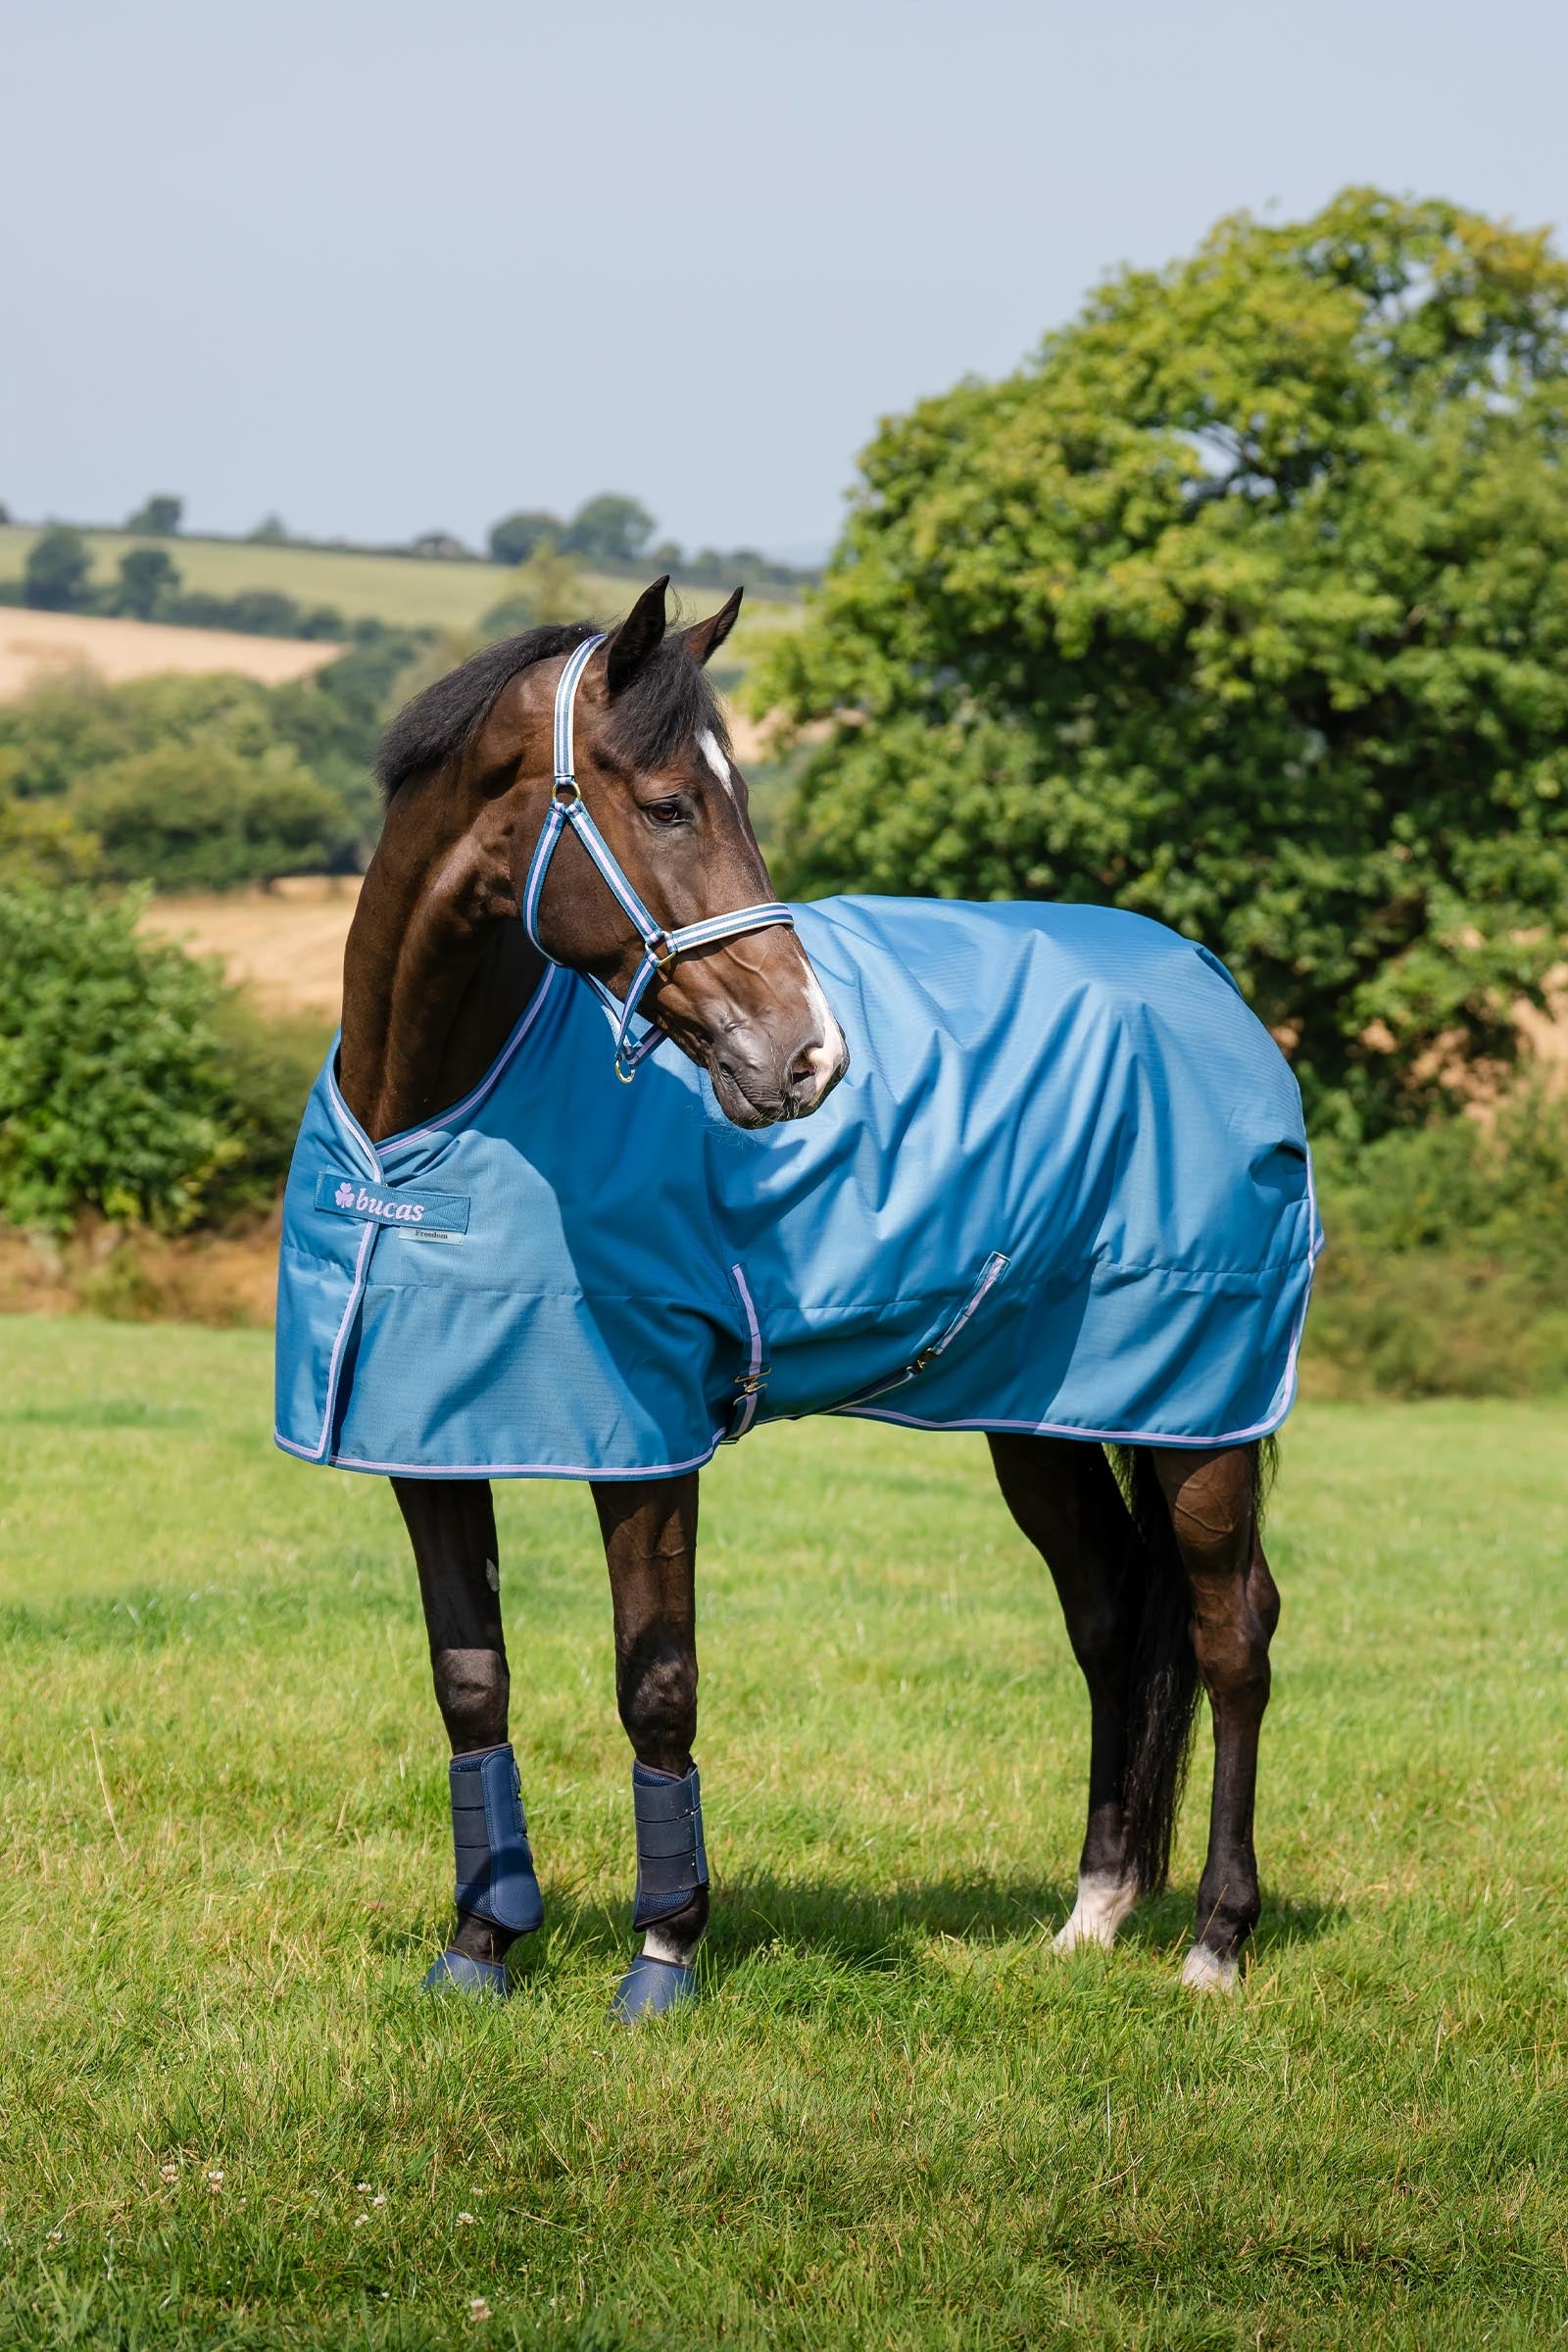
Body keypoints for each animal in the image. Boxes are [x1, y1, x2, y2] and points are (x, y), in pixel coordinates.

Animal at [275, 578, 1314, 2018]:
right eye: (668, 806)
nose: (810, 1056)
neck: (422, 1123)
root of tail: (1212, 985)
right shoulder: (425, 1441)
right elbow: (469, 1683)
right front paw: (480, 1946)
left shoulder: (649, 1447)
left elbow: (658, 1683)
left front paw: (663, 1957)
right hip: (1044, 1420)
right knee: (1110, 1619)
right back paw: (1095, 1910)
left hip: (1200, 1414)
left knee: (1231, 1634)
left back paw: (1216, 1939)